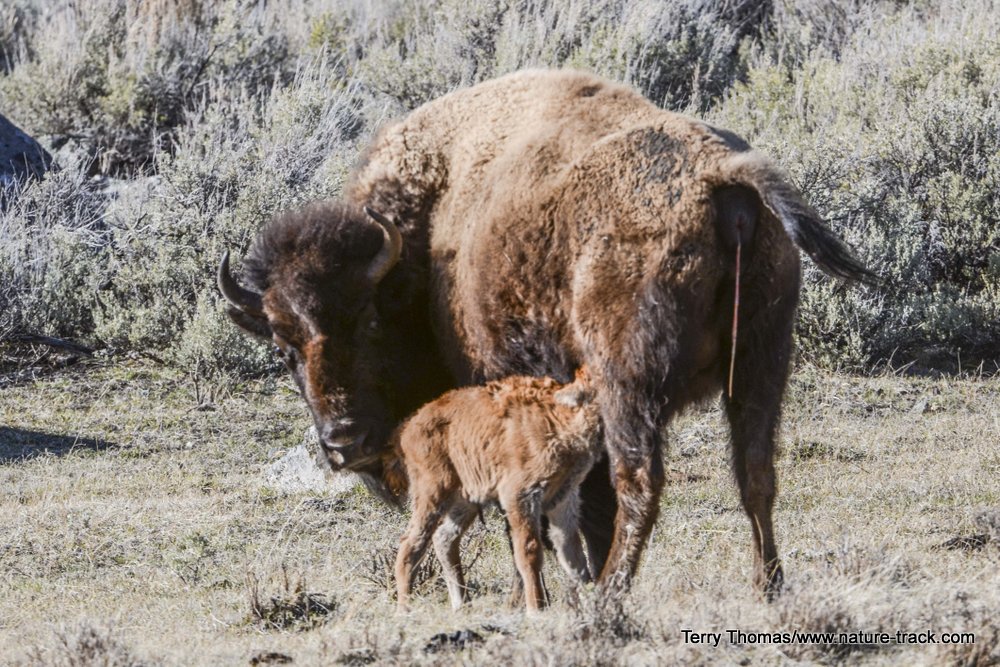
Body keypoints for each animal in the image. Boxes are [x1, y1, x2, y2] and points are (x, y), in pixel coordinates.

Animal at [221, 70, 876, 596]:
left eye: (370, 320)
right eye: (283, 348)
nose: (343, 439)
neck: (429, 235)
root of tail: (725, 179)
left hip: (630, 386)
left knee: (639, 483)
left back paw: (611, 595)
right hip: (763, 365)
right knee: (755, 474)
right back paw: (768, 587)